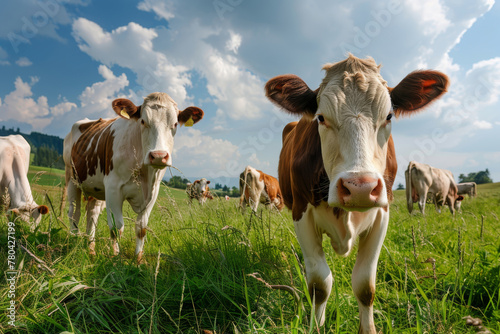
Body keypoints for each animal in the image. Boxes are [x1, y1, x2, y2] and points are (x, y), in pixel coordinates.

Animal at [63, 91, 204, 260]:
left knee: (92, 213)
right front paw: (115, 257)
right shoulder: (113, 188)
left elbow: (141, 228)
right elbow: (116, 227)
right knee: (74, 212)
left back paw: (91, 248)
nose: (158, 156)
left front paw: (138, 259)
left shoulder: (153, 192)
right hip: (72, 179)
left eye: (175, 124)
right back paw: (73, 242)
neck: (144, 174)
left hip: (95, 187)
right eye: (143, 121)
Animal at [266, 54, 450, 332]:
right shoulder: (301, 212)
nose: (360, 187)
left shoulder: (382, 214)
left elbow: (364, 286)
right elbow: (319, 284)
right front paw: (316, 325)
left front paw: (368, 328)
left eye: (389, 116)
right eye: (321, 118)